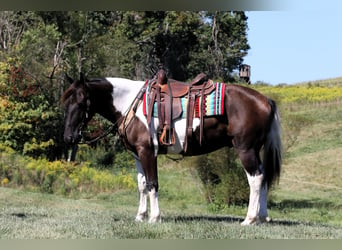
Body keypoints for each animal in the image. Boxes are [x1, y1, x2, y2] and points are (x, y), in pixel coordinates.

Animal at [60, 72, 280, 225]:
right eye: (66, 103)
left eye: (81, 102)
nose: (69, 137)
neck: (131, 104)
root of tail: (265, 100)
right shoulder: (137, 155)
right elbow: (141, 185)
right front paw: (140, 216)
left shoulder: (148, 152)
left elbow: (152, 184)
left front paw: (154, 218)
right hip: (254, 151)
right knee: (263, 178)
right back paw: (263, 217)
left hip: (246, 150)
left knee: (255, 179)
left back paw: (249, 219)